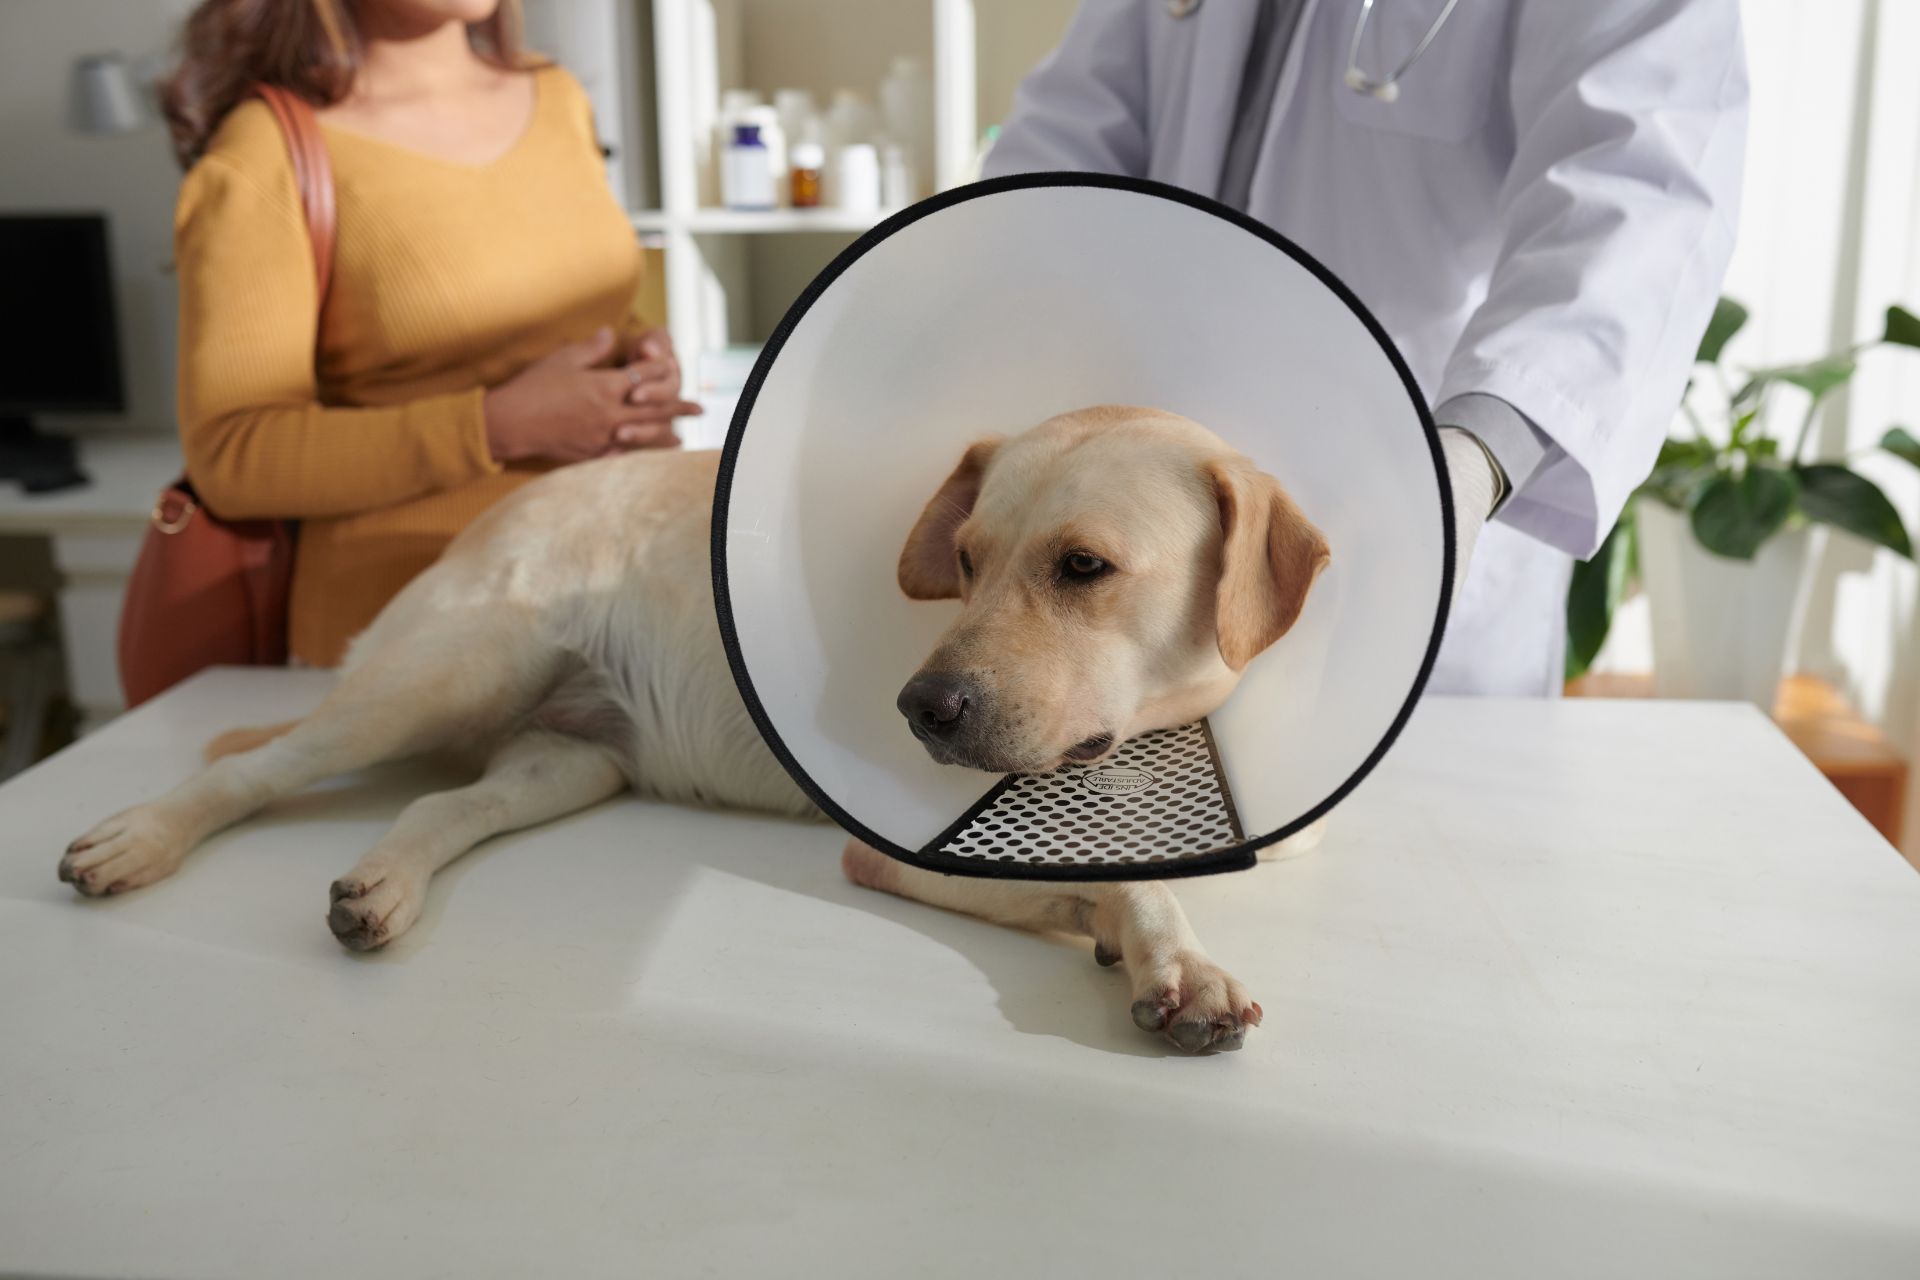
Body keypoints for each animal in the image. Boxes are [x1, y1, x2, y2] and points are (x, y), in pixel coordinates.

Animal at [56, 408, 1320, 1051]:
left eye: (1084, 566)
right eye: (963, 562)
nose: (921, 708)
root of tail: (496, 508)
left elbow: (1112, 876)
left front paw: (1127, 938)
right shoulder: (885, 848)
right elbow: (1134, 881)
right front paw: (1182, 960)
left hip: (562, 762)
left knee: (438, 801)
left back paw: (382, 887)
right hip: (443, 676)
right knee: (260, 769)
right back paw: (137, 840)